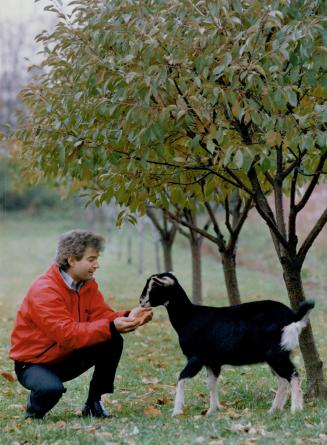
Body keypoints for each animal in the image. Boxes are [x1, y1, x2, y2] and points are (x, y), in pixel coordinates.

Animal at [140, 270, 316, 416]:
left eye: (154, 286)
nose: (141, 301)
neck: (188, 317)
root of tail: (293, 316)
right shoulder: (212, 361)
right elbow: (211, 383)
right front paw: (212, 410)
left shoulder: (196, 357)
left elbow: (181, 377)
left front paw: (177, 411)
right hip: (276, 355)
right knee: (283, 380)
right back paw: (274, 410)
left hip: (276, 354)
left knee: (292, 375)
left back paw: (295, 409)